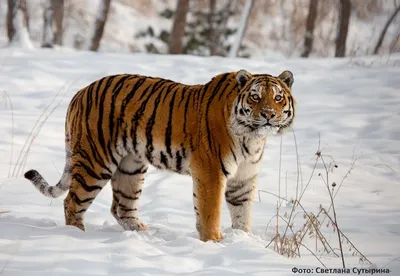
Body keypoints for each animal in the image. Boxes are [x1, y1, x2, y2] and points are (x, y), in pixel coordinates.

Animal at [24, 69, 294, 242]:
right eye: (255, 97)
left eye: (278, 98)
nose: (268, 114)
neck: (252, 137)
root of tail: (79, 92)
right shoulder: (211, 171)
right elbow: (210, 211)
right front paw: (214, 242)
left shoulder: (243, 179)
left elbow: (242, 213)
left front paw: (242, 240)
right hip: (95, 162)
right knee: (72, 202)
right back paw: (76, 236)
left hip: (131, 166)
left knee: (121, 207)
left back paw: (143, 233)